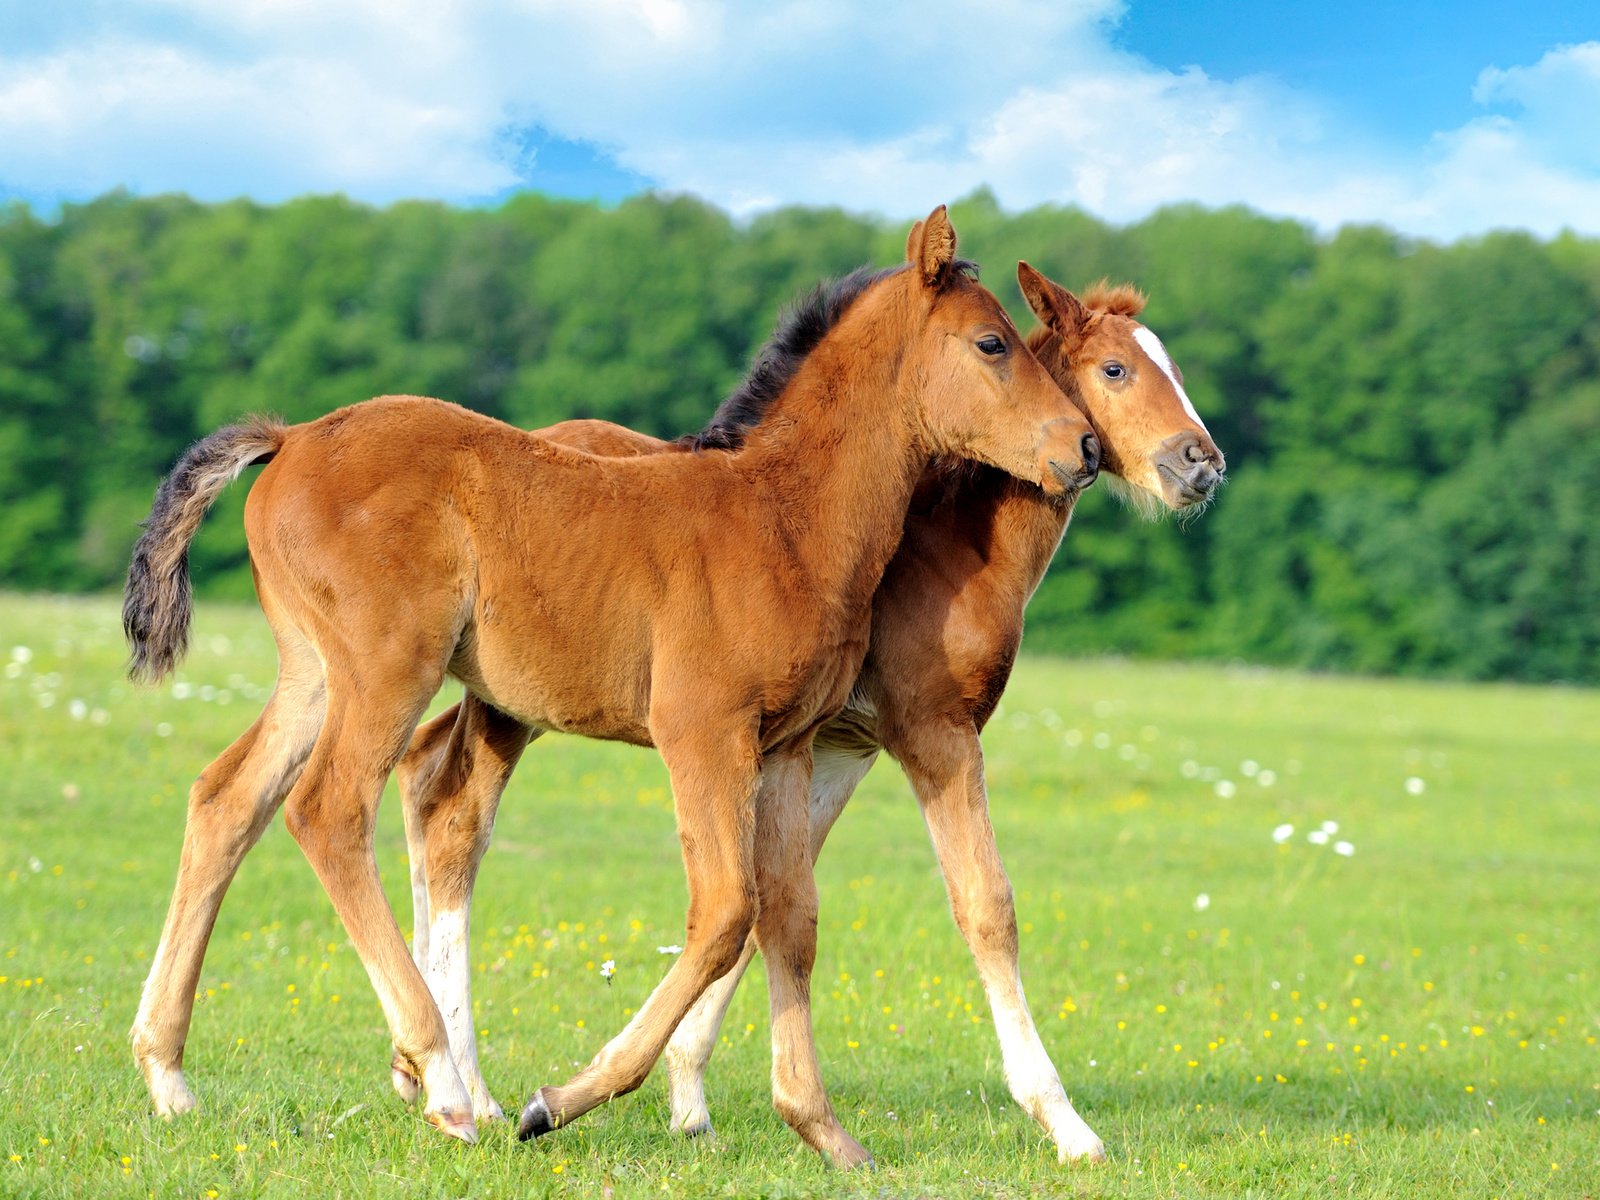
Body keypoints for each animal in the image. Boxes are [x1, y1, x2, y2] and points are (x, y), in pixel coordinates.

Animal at [121, 206, 1100, 1164]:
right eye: (991, 344)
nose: (1085, 446)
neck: (784, 517)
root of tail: (289, 438)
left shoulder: (787, 745)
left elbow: (789, 917)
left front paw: (822, 1131)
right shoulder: (702, 730)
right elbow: (725, 911)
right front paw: (558, 1102)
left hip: (313, 673)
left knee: (227, 801)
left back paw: (169, 1076)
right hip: (387, 669)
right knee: (327, 810)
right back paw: (443, 1084)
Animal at [393, 262, 1216, 1164]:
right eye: (1116, 370)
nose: (1200, 464)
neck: (946, 549)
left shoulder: (835, 748)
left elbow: (772, 907)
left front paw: (690, 1096)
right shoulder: (933, 732)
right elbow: (984, 906)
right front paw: (1065, 1124)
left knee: (425, 778)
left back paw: (426, 1072)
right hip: (514, 703)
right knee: (456, 819)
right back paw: (466, 1087)